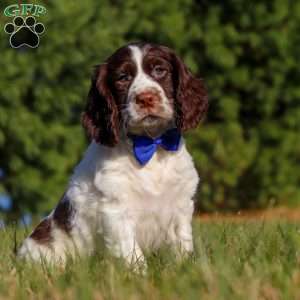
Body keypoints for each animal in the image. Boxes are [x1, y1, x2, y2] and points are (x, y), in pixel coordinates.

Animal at [17, 41, 207, 268]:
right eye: (122, 77)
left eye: (160, 70)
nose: (146, 98)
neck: (149, 145)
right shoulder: (116, 209)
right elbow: (131, 251)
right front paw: (139, 275)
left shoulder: (181, 204)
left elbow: (182, 243)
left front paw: (186, 269)